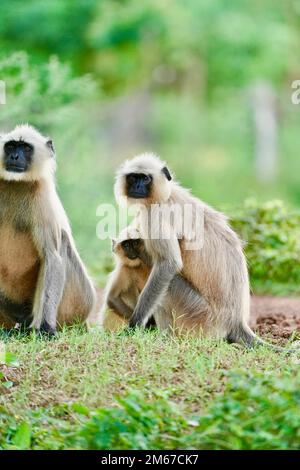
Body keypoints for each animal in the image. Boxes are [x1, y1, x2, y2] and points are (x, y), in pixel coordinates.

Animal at [0, 123, 96, 332]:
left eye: (25, 148)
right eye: (10, 147)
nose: (15, 157)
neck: (16, 184)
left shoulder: (41, 194)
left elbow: (51, 256)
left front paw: (45, 328)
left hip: (78, 302)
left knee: (62, 243)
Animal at [113, 152, 294, 350]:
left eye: (145, 178)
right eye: (133, 177)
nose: (137, 186)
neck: (166, 195)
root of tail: (236, 321)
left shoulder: (155, 214)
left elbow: (169, 264)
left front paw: (134, 325)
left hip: (200, 315)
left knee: (168, 285)